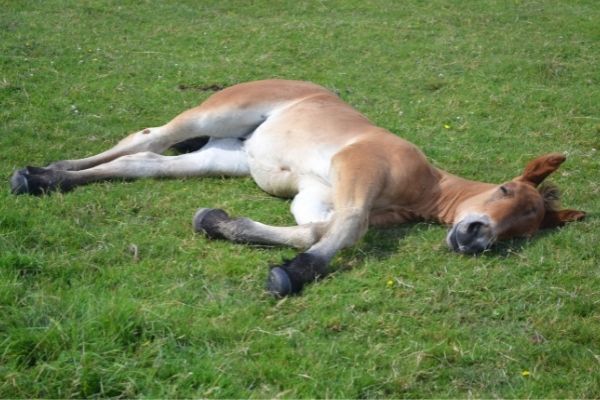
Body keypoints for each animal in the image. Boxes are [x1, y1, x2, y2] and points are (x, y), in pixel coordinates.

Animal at [10, 79, 584, 296]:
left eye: (521, 233)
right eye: (506, 190)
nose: (475, 236)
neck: (422, 187)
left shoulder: (316, 197)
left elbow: (312, 229)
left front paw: (218, 222)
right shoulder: (357, 169)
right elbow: (344, 229)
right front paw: (294, 274)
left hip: (224, 156)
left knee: (144, 163)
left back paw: (48, 177)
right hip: (220, 113)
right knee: (146, 138)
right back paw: (38, 172)